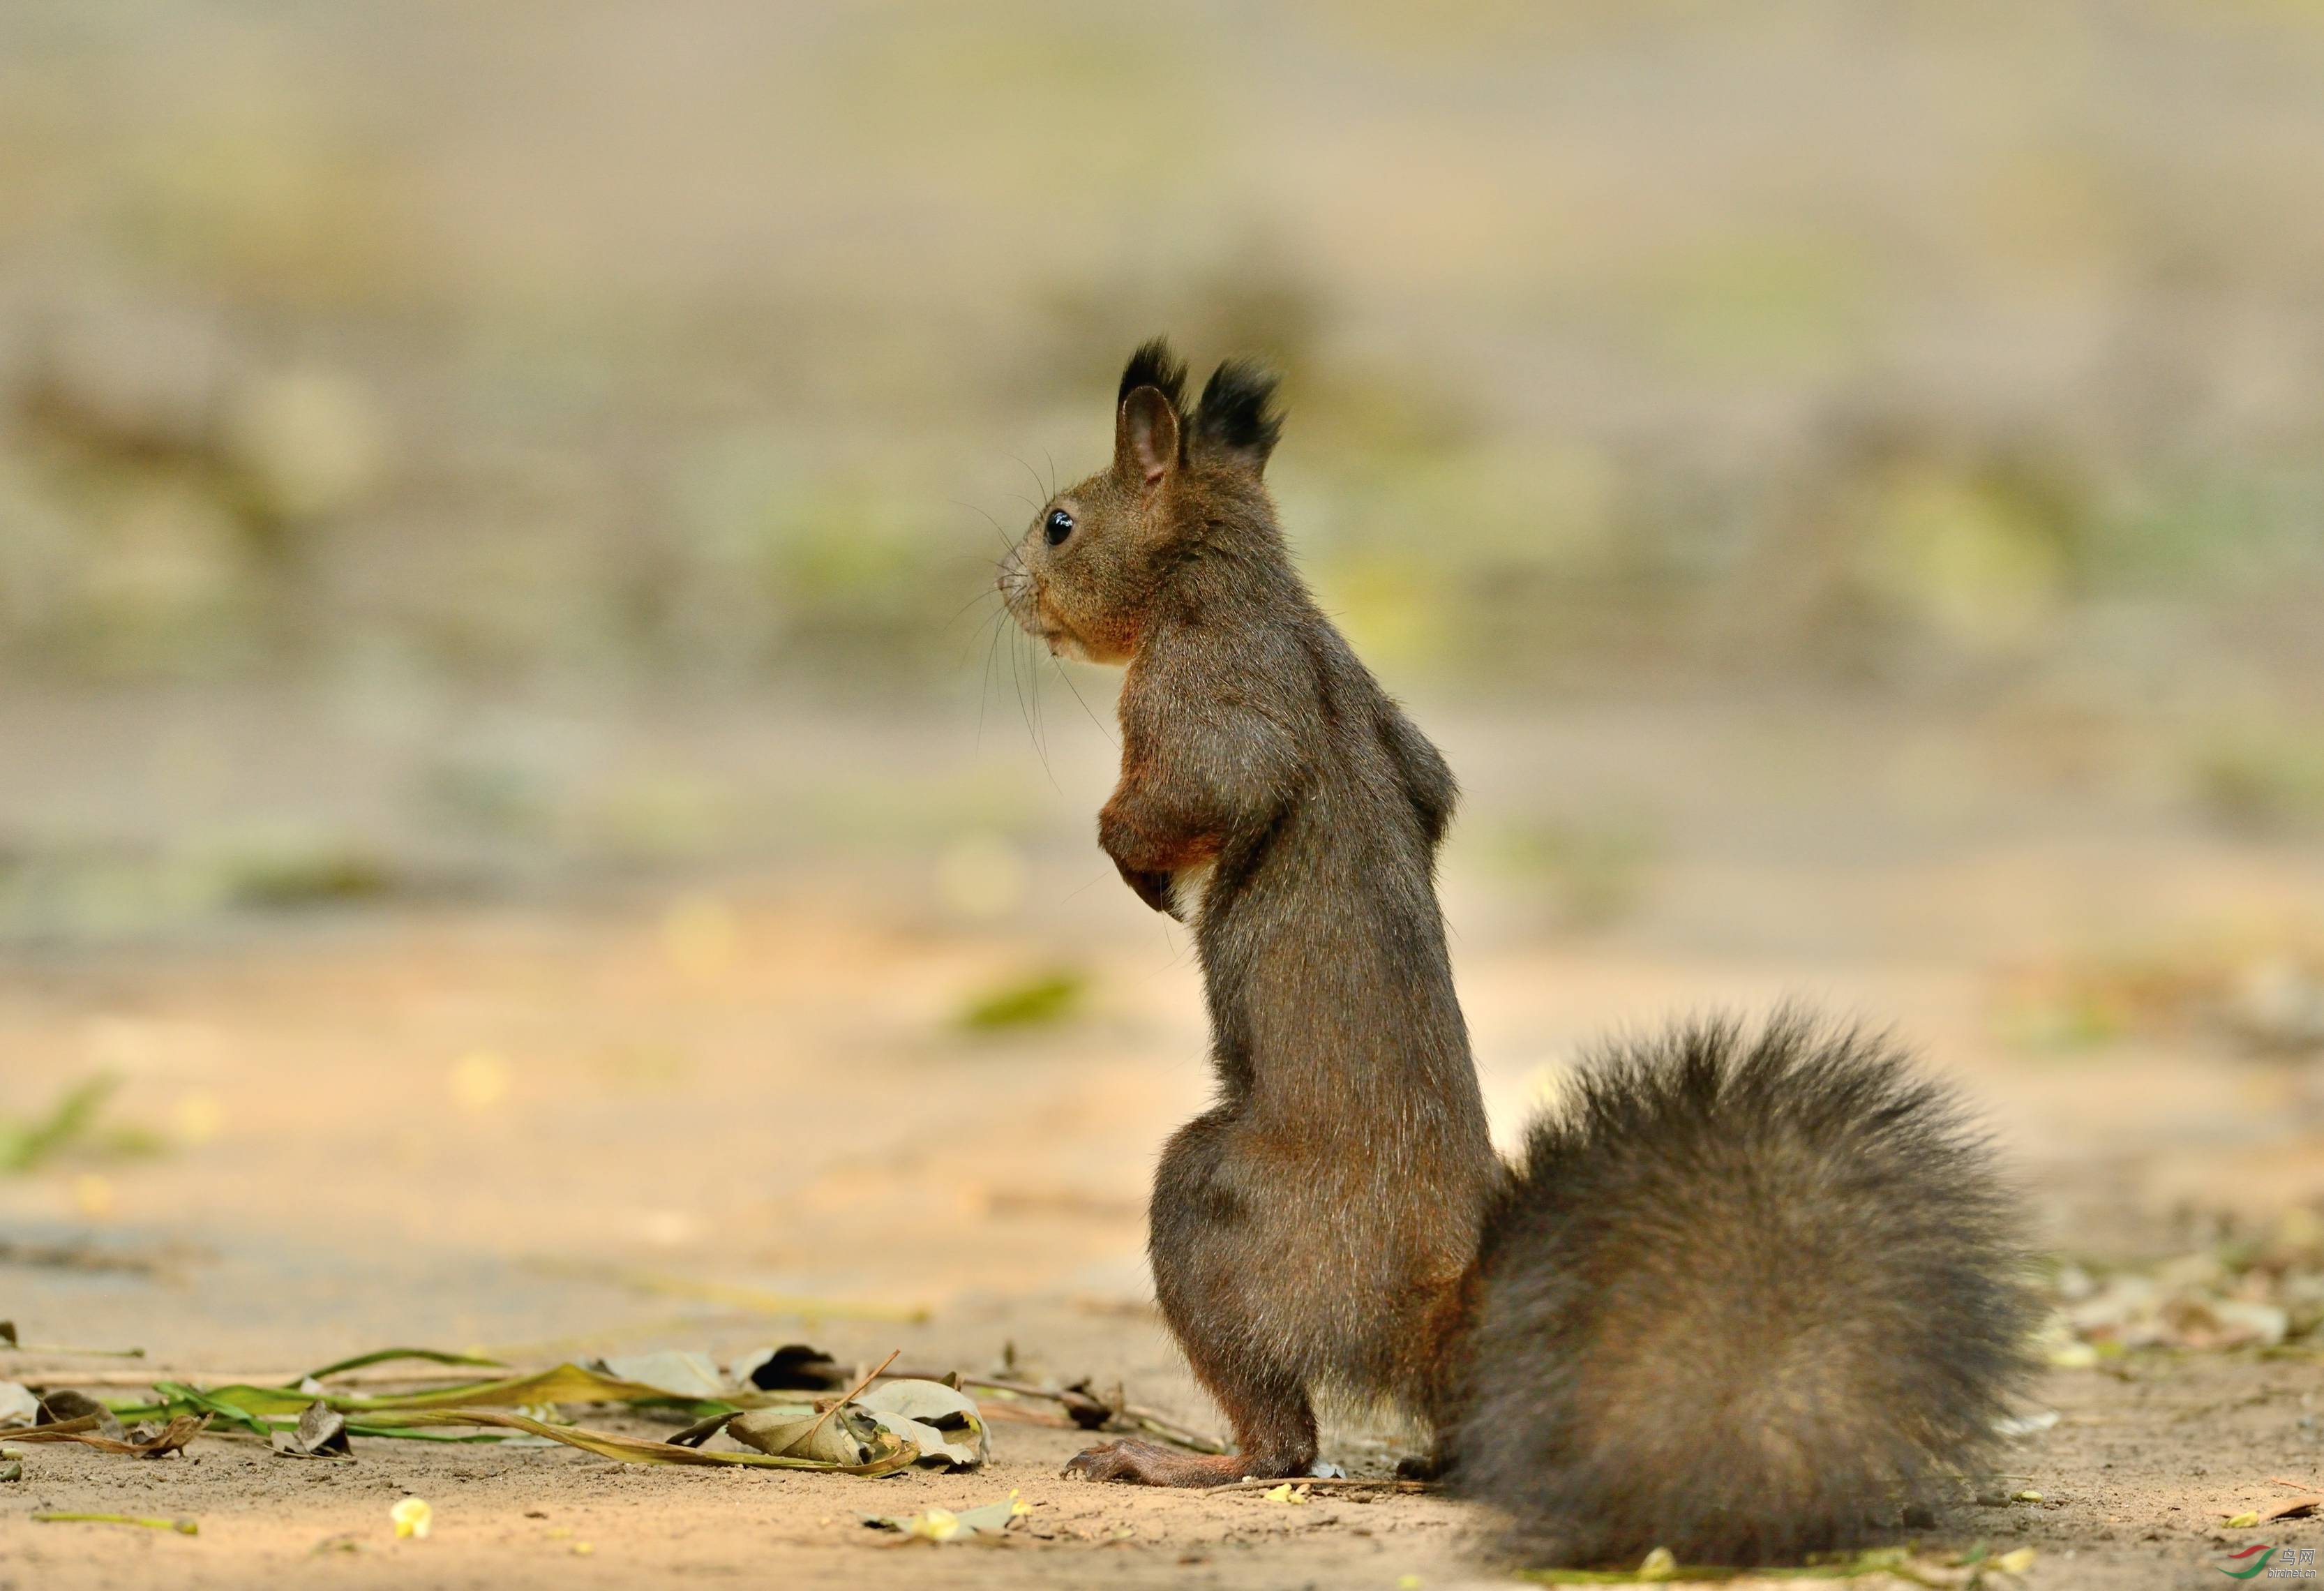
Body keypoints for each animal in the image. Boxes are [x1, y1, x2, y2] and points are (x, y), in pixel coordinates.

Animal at [994, 339, 2035, 1563]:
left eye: (1060, 523)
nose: (1003, 582)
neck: (1237, 584)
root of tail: (1436, 1304)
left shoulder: (1205, 690)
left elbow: (1207, 789)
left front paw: (1138, 868)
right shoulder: (1389, 718)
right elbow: (1427, 782)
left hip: (1213, 1205)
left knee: (1280, 1443)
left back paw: (1168, 1458)